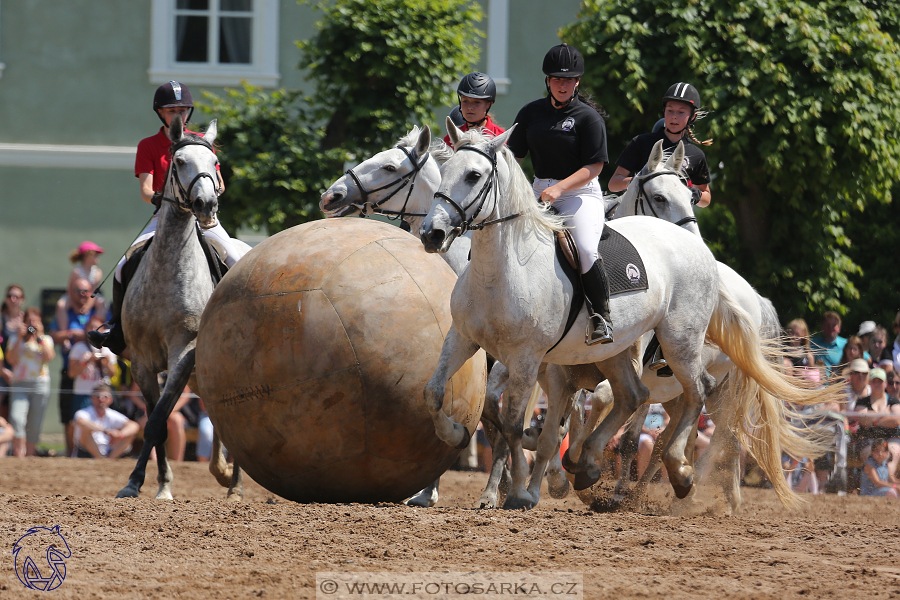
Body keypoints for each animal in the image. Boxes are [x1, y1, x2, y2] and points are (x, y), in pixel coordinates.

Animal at [116, 115, 243, 500]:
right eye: (180, 161)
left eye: (214, 163)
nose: (206, 205)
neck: (167, 272)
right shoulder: (142, 362)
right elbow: (155, 421)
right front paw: (146, 484)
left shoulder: (183, 353)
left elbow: (159, 419)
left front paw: (150, 485)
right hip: (202, 377)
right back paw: (221, 472)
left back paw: (235, 488)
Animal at [420, 122, 836, 510]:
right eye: (447, 170)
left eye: (474, 175)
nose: (432, 233)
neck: (504, 268)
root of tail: (702, 254)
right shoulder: (467, 340)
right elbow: (438, 394)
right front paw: (457, 438)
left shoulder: (527, 358)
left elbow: (514, 423)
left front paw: (523, 490)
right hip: (621, 354)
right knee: (641, 400)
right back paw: (602, 470)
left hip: (683, 347)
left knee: (703, 406)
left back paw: (681, 480)